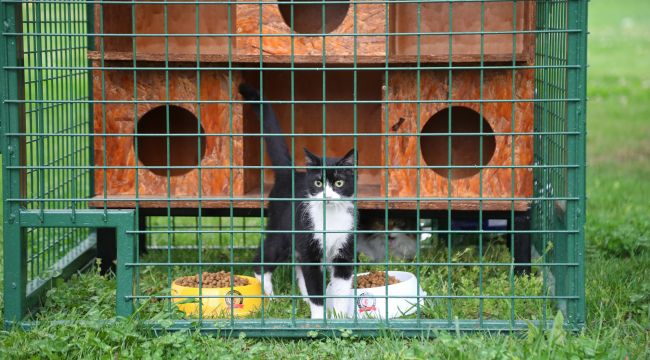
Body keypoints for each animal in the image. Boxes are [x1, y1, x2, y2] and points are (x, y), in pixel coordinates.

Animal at [237, 83, 354, 318]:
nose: (327, 195)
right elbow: (316, 286)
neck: (330, 218)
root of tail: (289, 174)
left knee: (299, 272)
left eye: (339, 183)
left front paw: (340, 317)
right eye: (318, 183)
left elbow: (341, 288)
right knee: (263, 258)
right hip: (281, 230)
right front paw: (319, 319)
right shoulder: (309, 246)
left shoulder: (344, 249)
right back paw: (269, 297)